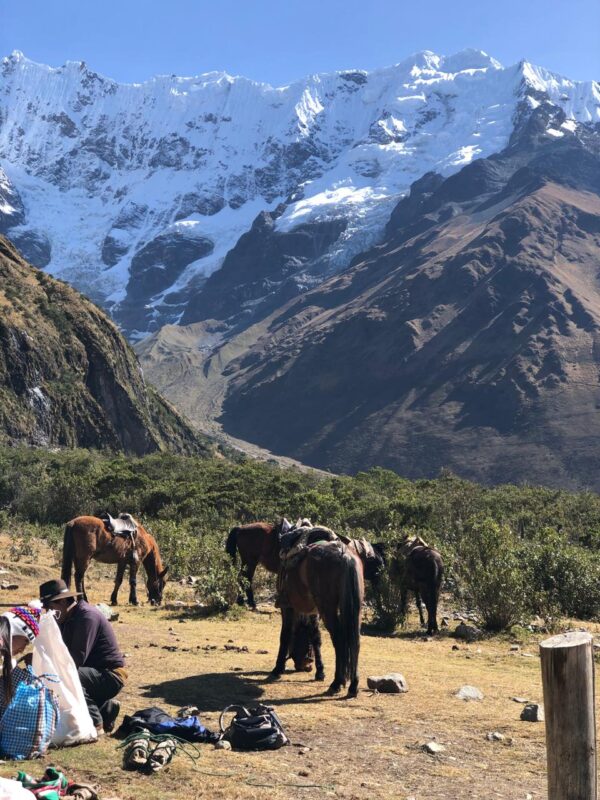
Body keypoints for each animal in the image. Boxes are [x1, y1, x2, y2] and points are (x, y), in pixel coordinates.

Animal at [272, 536, 366, 700]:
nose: (305, 665)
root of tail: (345, 555)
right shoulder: (313, 612)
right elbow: (316, 637)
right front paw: (320, 672)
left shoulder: (287, 607)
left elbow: (285, 635)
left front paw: (278, 668)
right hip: (355, 610)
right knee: (355, 642)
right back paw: (353, 686)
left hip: (327, 609)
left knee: (339, 639)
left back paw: (337, 683)